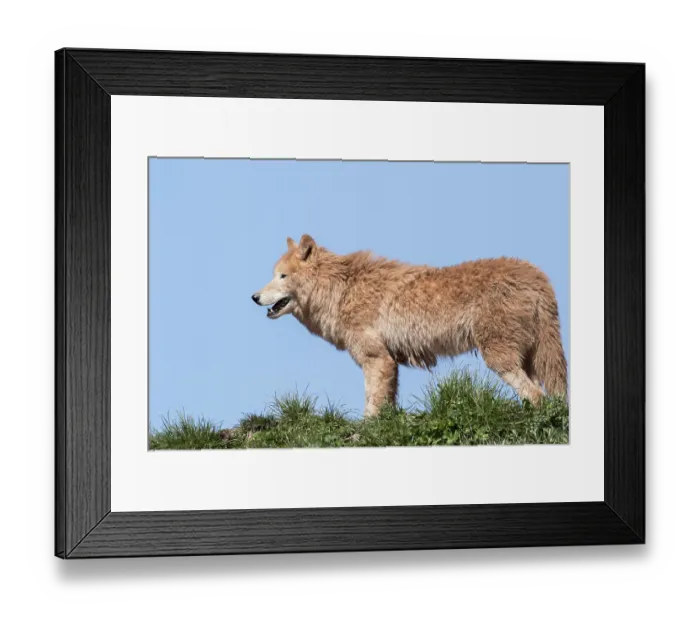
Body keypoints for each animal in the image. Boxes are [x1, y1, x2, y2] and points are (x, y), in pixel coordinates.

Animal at [252, 235, 567, 418]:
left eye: (281, 276)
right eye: (273, 275)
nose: (254, 297)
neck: (341, 291)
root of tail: (539, 277)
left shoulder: (376, 359)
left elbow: (371, 407)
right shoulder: (390, 361)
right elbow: (386, 405)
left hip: (499, 358)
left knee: (537, 396)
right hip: (527, 358)